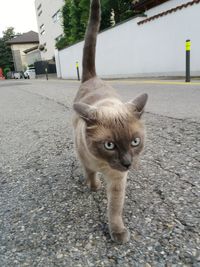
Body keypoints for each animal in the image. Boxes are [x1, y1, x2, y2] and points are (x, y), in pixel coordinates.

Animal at [72, 0, 148, 245]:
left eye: (135, 142)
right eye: (109, 145)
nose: (127, 163)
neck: (103, 165)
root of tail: (93, 77)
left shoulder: (117, 181)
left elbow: (114, 209)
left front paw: (117, 232)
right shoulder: (86, 161)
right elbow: (90, 175)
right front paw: (93, 187)